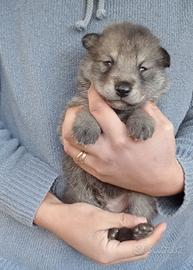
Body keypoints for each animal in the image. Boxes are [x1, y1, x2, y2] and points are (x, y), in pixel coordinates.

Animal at [60, 22, 169, 242]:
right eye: (108, 62)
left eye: (142, 68)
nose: (123, 88)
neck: (117, 110)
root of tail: (113, 207)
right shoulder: (72, 107)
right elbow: (85, 106)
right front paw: (86, 127)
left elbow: (140, 107)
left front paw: (141, 122)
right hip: (83, 193)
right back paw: (113, 230)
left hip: (140, 198)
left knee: (133, 224)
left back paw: (139, 231)